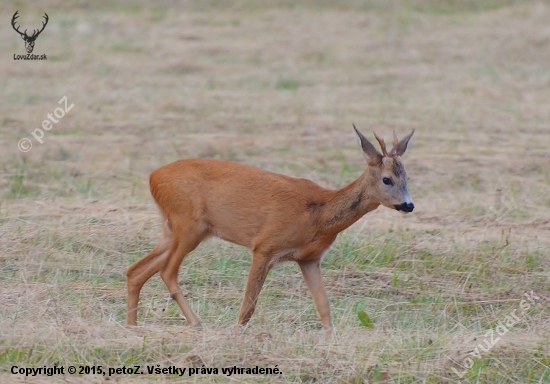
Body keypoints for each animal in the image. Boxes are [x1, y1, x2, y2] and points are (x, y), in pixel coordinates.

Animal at [127, 126, 416, 330]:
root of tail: (153, 177)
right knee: (166, 271)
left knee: (136, 271)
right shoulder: (265, 246)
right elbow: (248, 307)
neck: (319, 214)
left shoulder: (309, 258)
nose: (409, 205)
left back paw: (133, 326)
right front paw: (236, 334)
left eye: (407, 178)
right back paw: (196, 324)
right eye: (387, 179)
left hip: (172, 229)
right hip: (189, 225)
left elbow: (324, 307)